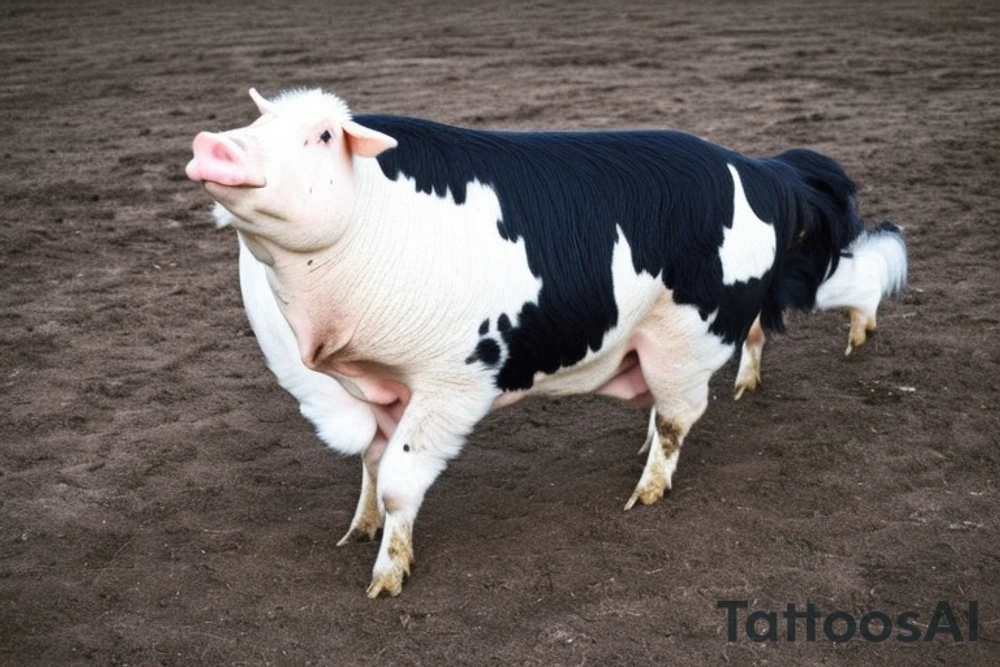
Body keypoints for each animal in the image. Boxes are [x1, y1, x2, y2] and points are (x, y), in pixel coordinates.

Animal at [186, 88, 907, 597]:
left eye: (322, 134)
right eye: (256, 123)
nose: (213, 142)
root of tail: (757, 170)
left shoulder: (455, 378)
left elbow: (397, 478)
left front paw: (384, 583)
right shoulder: (369, 388)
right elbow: (367, 460)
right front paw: (352, 534)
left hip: (691, 332)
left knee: (683, 415)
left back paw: (646, 492)